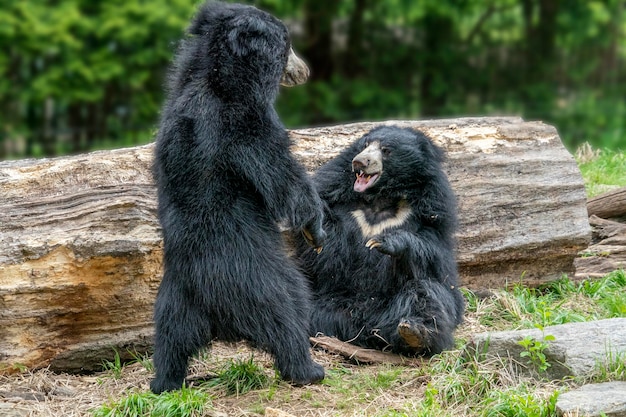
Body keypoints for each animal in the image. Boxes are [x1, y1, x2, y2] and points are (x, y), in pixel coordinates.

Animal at [150, 0, 326, 394]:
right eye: (288, 45)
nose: (305, 71)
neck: (216, 77)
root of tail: (214, 311)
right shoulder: (244, 121)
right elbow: (281, 173)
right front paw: (316, 229)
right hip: (257, 276)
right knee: (289, 310)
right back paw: (309, 369)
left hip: (174, 299)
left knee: (169, 337)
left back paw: (164, 381)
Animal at [296, 126, 464, 354]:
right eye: (365, 145)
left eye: (386, 150)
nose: (359, 162)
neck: (380, 199)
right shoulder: (338, 198)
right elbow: (326, 256)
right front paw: (313, 227)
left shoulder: (432, 215)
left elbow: (433, 259)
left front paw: (383, 242)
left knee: (425, 292)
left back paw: (415, 332)